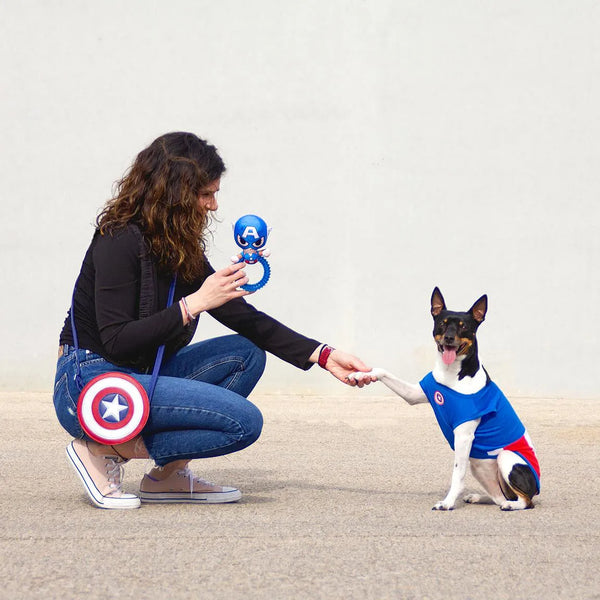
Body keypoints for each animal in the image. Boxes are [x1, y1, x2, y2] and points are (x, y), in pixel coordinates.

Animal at [350, 288, 540, 510]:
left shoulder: (464, 435)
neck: (453, 373)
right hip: (480, 466)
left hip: (506, 456)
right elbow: (382, 371)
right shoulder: (415, 394)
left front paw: (448, 502)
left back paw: (511, 505)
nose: (449, 338)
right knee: (499, 496)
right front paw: (359, 374)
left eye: (464, 326)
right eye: (442, 323)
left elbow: (457, 474)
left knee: (525, 501)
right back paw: (479, 497)